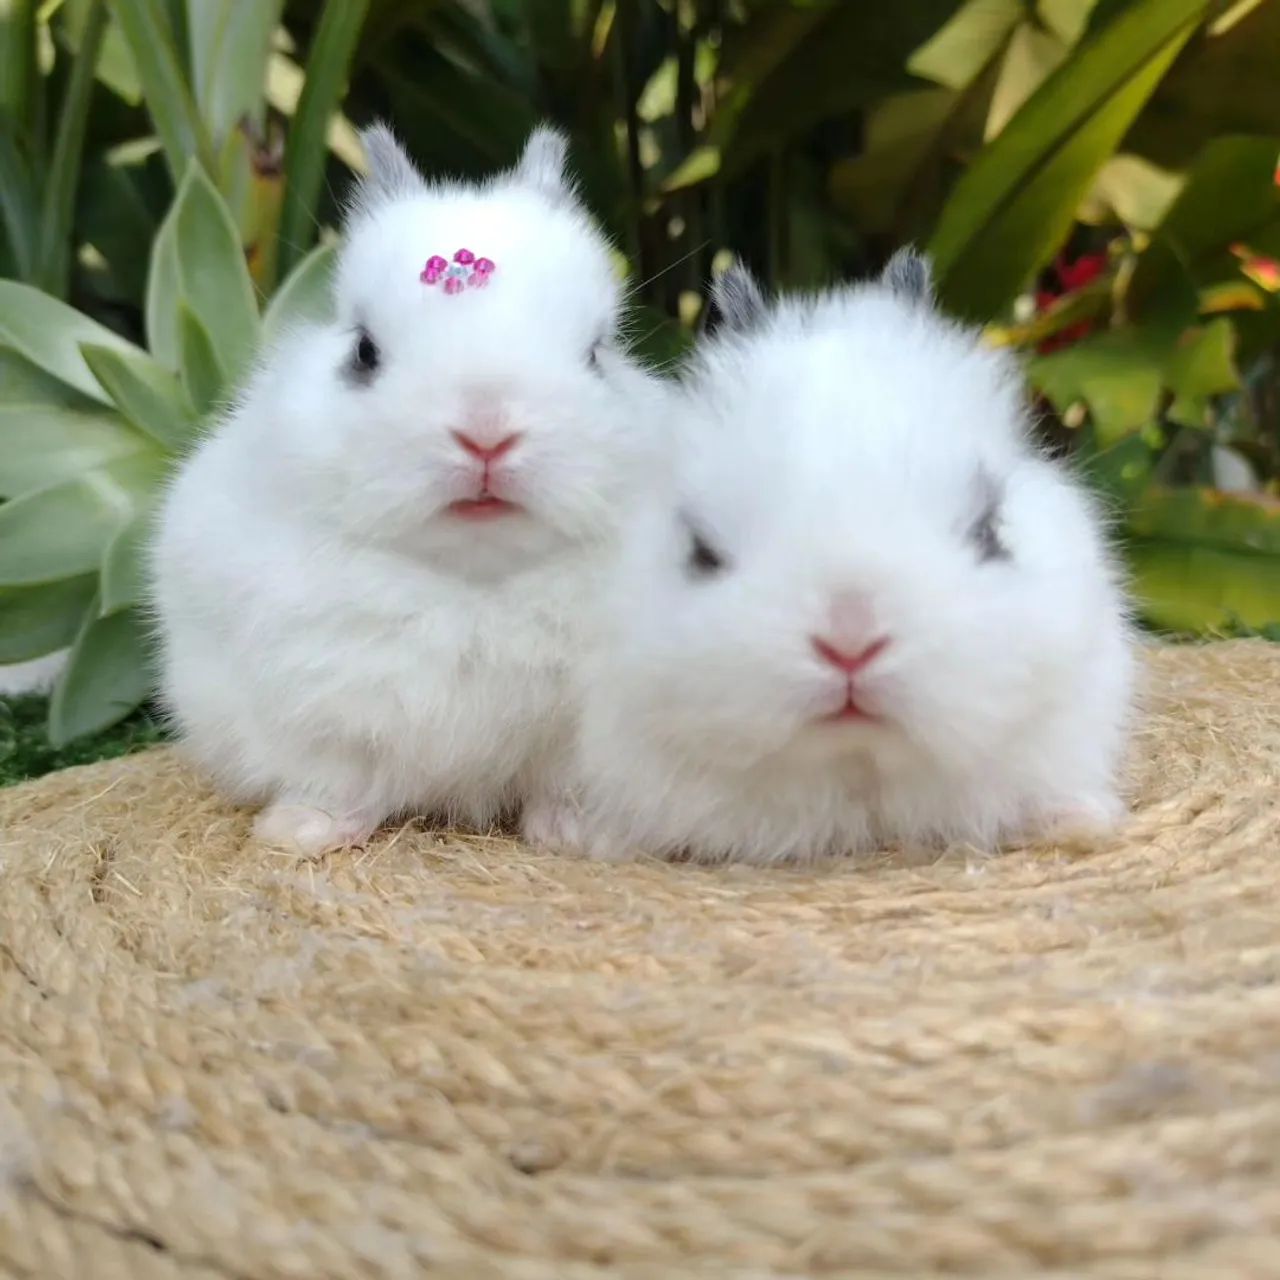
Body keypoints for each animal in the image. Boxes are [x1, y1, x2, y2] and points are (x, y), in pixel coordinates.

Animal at [151, 123, 662, 858]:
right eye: (364, 353)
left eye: (596, 354)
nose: (486, 431)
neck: (473, 581)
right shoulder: (306, 705)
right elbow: (340, 773)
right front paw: (300, 832)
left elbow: (564, 779)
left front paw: (575, 834)